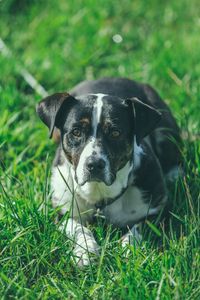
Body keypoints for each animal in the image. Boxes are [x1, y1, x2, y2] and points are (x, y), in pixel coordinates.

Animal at [36, 78, 181, 268]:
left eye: (115, 133)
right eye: (76, 132)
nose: (94, 164)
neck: (99, 193)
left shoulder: (159, 210)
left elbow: (139, 228)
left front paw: (128, 248)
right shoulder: (61, 211)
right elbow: (78, 228)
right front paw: (85, 251)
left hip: (165, 129)